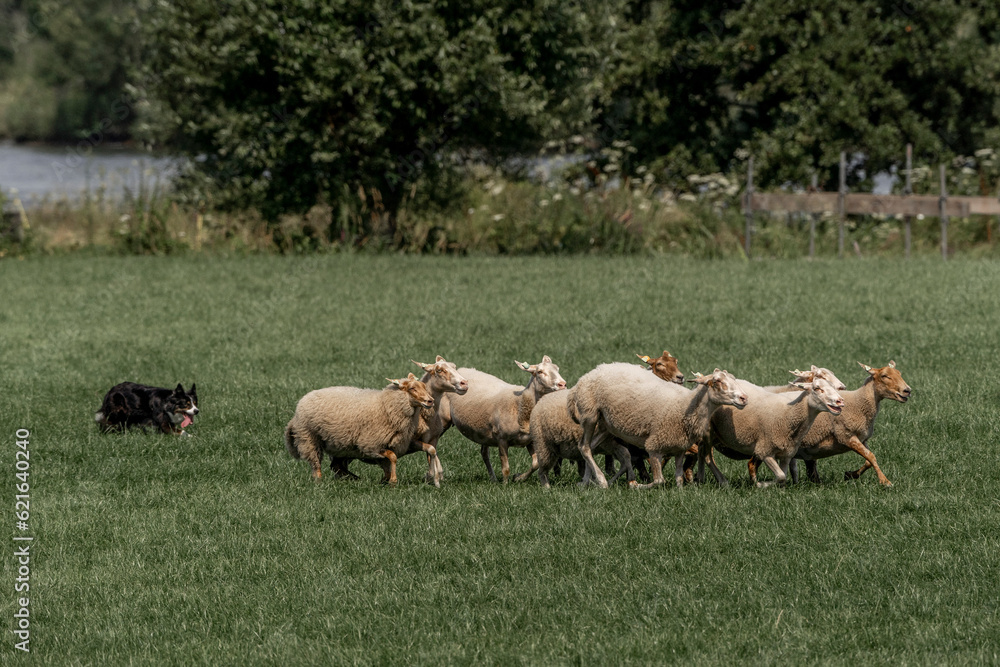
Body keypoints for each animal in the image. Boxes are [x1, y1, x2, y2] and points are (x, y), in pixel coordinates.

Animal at [284, 373, 434, 485]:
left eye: (424, 386)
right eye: (412, 388)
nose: (430, 401)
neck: (386, 406)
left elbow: (390, 462)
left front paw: (385, 480)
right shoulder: (371, 444)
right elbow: (393, 457)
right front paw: (392, 480)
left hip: (341, 446)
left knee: (336, 466)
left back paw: (353, 479)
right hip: (309, 438)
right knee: (316, 464)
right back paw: (320, 481)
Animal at [327, 356, 468, 487]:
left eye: (454, 366)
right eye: (439, 370)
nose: (464, 383)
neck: (425, 416)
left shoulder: (433, 439)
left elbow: (432, 454)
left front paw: (435, 478)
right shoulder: (410, 441)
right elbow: (430, 451)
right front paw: (434, 478)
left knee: (337, 466)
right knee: (336, 466)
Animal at [568, 363, 749, 489]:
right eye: (717, 381)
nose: (744, 398)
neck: (686, 405)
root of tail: (589, 374)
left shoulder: (679, 447)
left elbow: (678, 477)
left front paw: (680, 492)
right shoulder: (654, 446)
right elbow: (659, 480)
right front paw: (635, 485)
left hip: (606, 425)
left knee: (590, 447)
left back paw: (586, 481)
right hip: (590, 414)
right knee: (584, 446)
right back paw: (602, 481)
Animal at [699, 374, 845, 488]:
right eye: (817, 388)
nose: (840, 401)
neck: (789, 414)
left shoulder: (786, 454)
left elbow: (784, 476)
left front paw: (780, 491)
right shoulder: (765, 450)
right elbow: (780, 476)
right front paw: (761, 485)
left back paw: (699, 480)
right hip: (708, 432)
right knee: (707, 457)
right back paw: (723, 482)